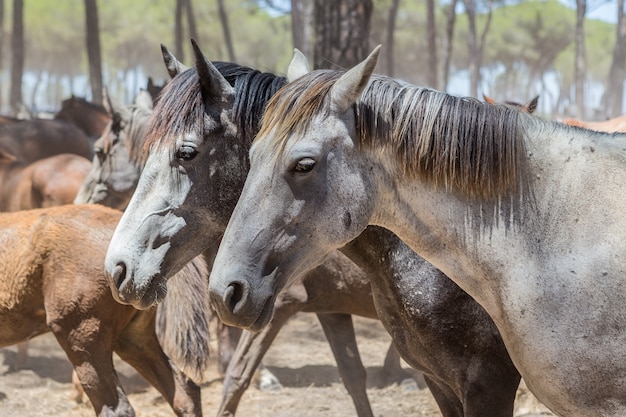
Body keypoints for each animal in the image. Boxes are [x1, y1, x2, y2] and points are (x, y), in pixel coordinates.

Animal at [102, 42, 520, 416]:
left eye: (186, 153)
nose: (118, 269)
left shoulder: (488, 381)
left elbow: (236, 378)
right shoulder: (332, 313)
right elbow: (352, 377)